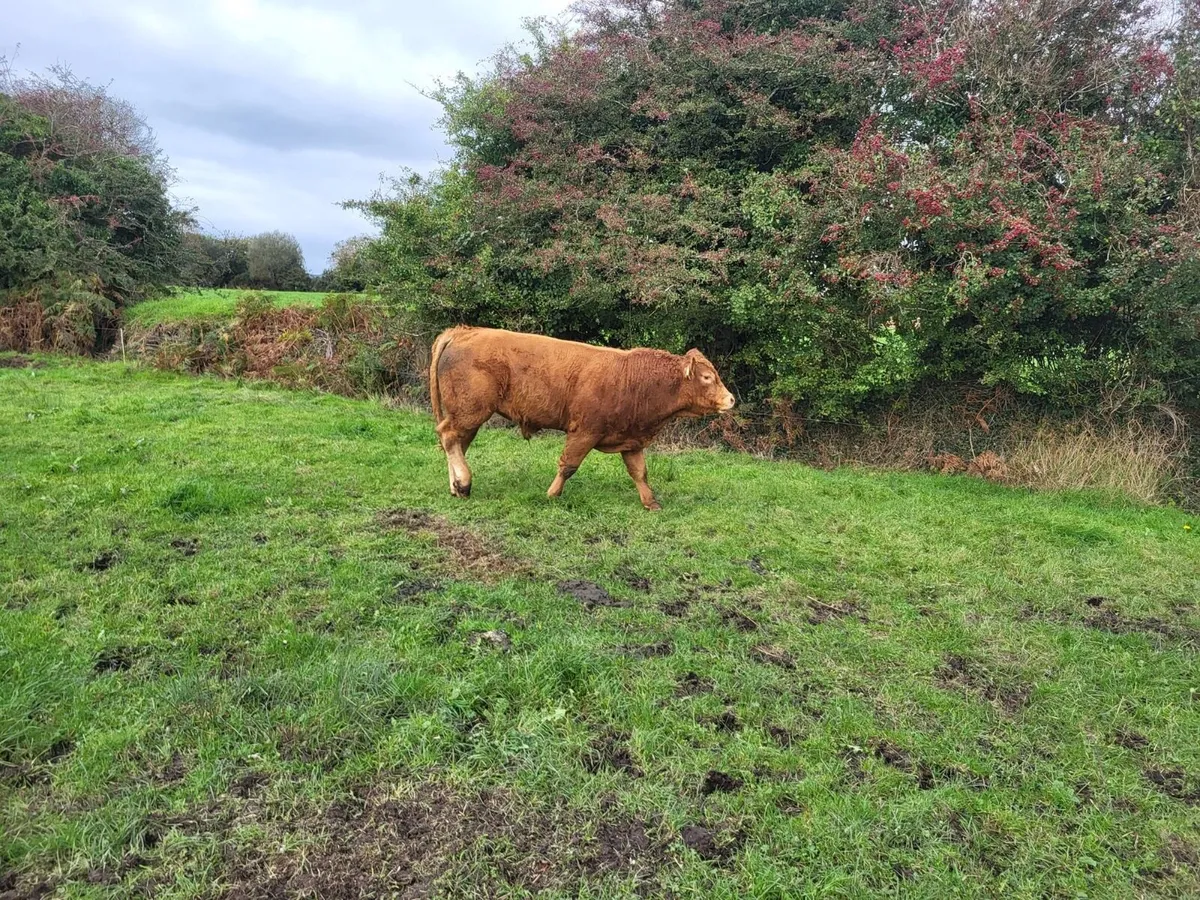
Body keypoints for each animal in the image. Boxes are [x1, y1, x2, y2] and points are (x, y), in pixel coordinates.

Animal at [428, 326, 735, 510]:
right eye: (707, 378)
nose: (731, 399)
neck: (634, 380)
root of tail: (464, 331)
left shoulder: (631, 440)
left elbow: (639, 472)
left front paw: (651, 503)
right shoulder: (585, 432)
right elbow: (569, 465)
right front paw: (552, 494)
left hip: (467, 415)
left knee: (456, 443)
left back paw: (456, 487)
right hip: (470, 411)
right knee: (449, 436)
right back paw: (464, 483)